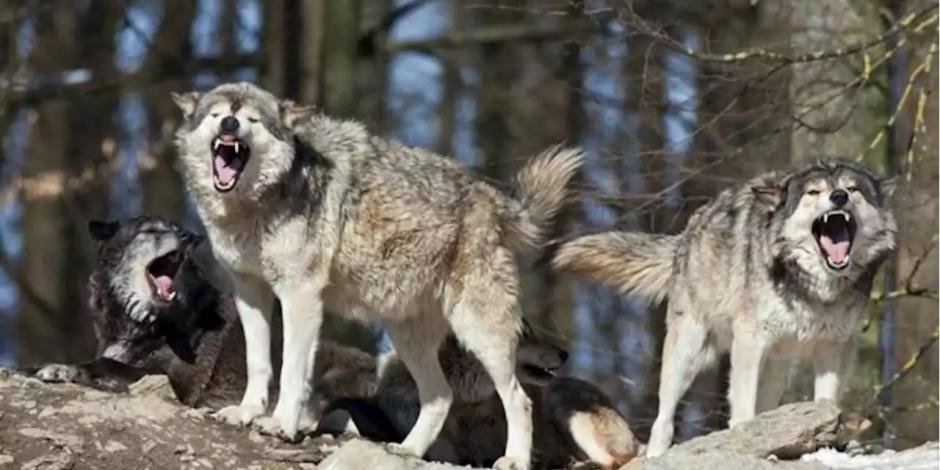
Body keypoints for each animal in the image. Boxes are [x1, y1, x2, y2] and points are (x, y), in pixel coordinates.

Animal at [29, 217, 377, 413]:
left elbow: (105, 363)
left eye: (178, 229)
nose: (189, 236)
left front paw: (67, 370)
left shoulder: (175, 382)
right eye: (150, 230)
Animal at [171, 82, 583, 468]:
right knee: (441, 396)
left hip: (481, 336)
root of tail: (493, 198)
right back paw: (407, 450)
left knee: (519, 400)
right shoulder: (250, 291)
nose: (230, 124)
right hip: (408, 339)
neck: (255, 205)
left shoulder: (300, 295)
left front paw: (280, 424)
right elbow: (258, 362)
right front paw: (246, 412)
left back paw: (514, 459)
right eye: (217, 114)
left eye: (252, 119)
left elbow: (291, 369)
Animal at [553, 160, 897, 457]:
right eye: (813, 192)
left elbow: (826, 400)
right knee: (663, 417)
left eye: (852, 189)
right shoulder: (749, 341)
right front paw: (743, 435)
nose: (838, 197)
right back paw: (657, 453)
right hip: (687, 354)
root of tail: (686, 234)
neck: (814, 288)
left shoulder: (834, 348)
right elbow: (742, 403)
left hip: (776, 367)